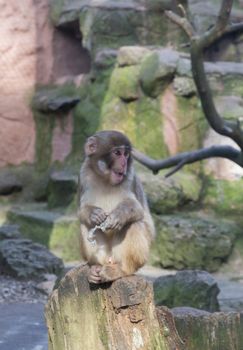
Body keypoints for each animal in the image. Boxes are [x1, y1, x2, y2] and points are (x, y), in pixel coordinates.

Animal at [78, 130, 155, 284]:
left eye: (126, 154)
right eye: (117, 153)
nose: (124, 162)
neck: (105, 179)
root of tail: (109, 259)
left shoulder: (130, 177)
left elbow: (138, 209)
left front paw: (118, 216)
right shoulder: (83, 175)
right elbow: (81, 212)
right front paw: (93, 214)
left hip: (135, 256)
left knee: (133, 224)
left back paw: (122, 270)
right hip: (104, 254)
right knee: (86, 224)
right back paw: (94, 268)